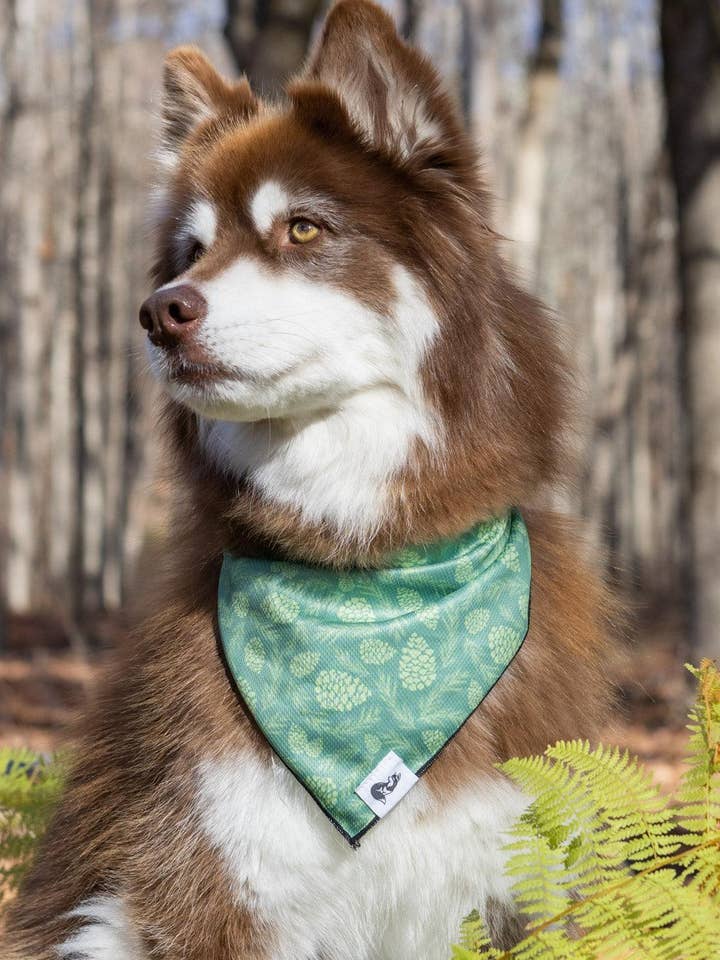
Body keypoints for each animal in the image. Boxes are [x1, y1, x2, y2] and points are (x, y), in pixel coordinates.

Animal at [3, 2, 614, 958]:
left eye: (302, 229)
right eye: (192, 250)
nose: (160, 312)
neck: (365, 573)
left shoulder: (515, 885)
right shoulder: (210, 880)